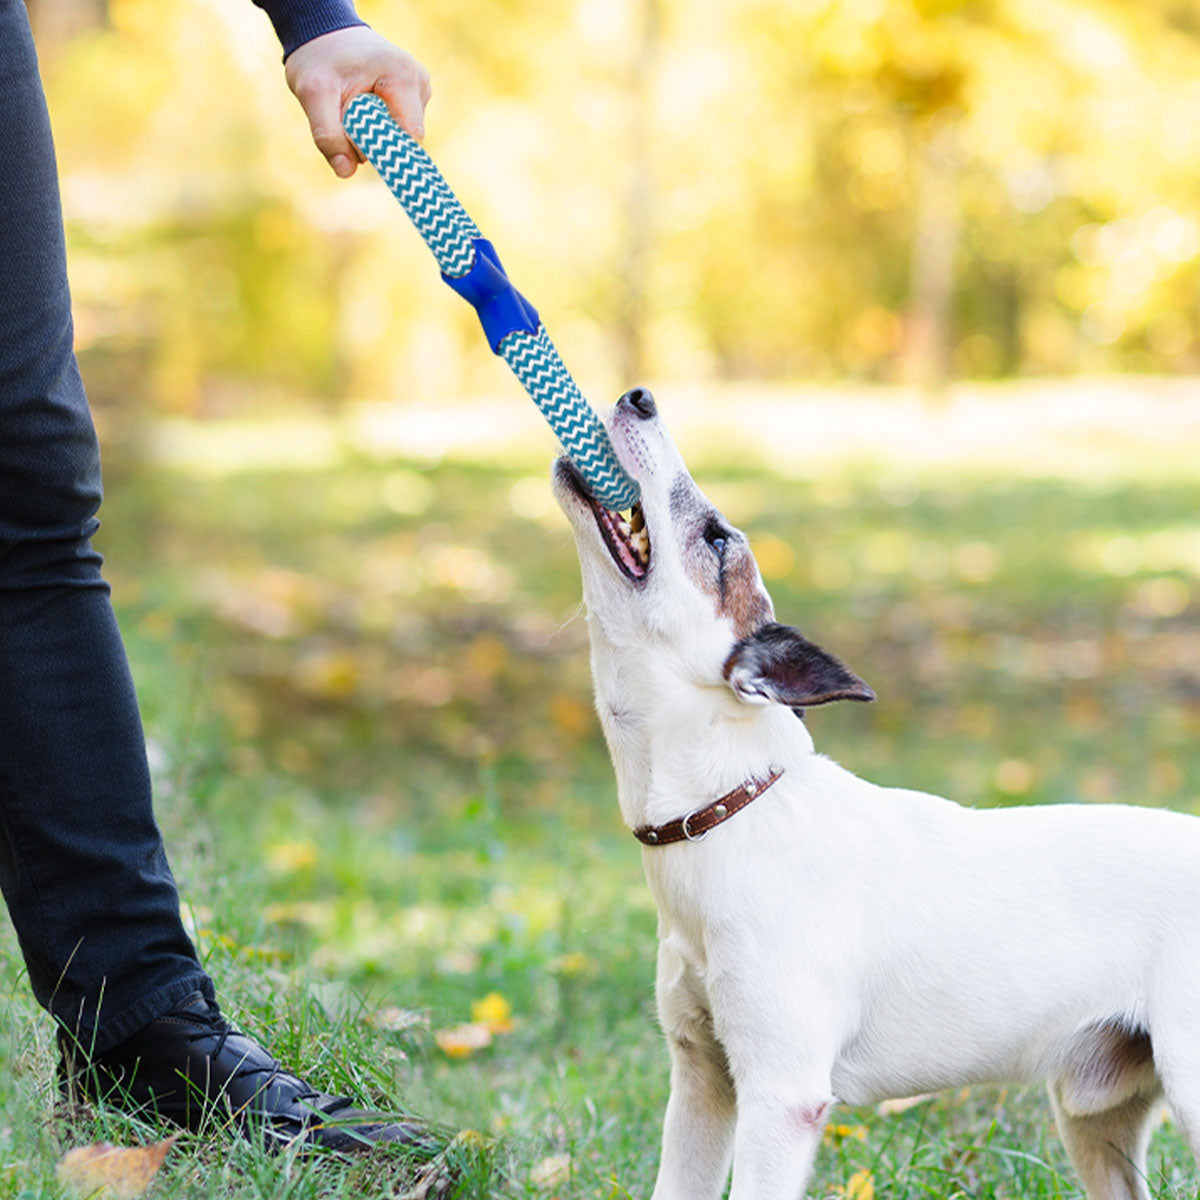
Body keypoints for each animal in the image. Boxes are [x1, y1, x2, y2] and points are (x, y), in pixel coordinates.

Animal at [552, 386, 1200, 1200]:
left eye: (716, 537)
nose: (639, 397)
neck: (732, 809)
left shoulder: (780, 1095)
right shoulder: (701, 1083)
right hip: (1094, 1120)